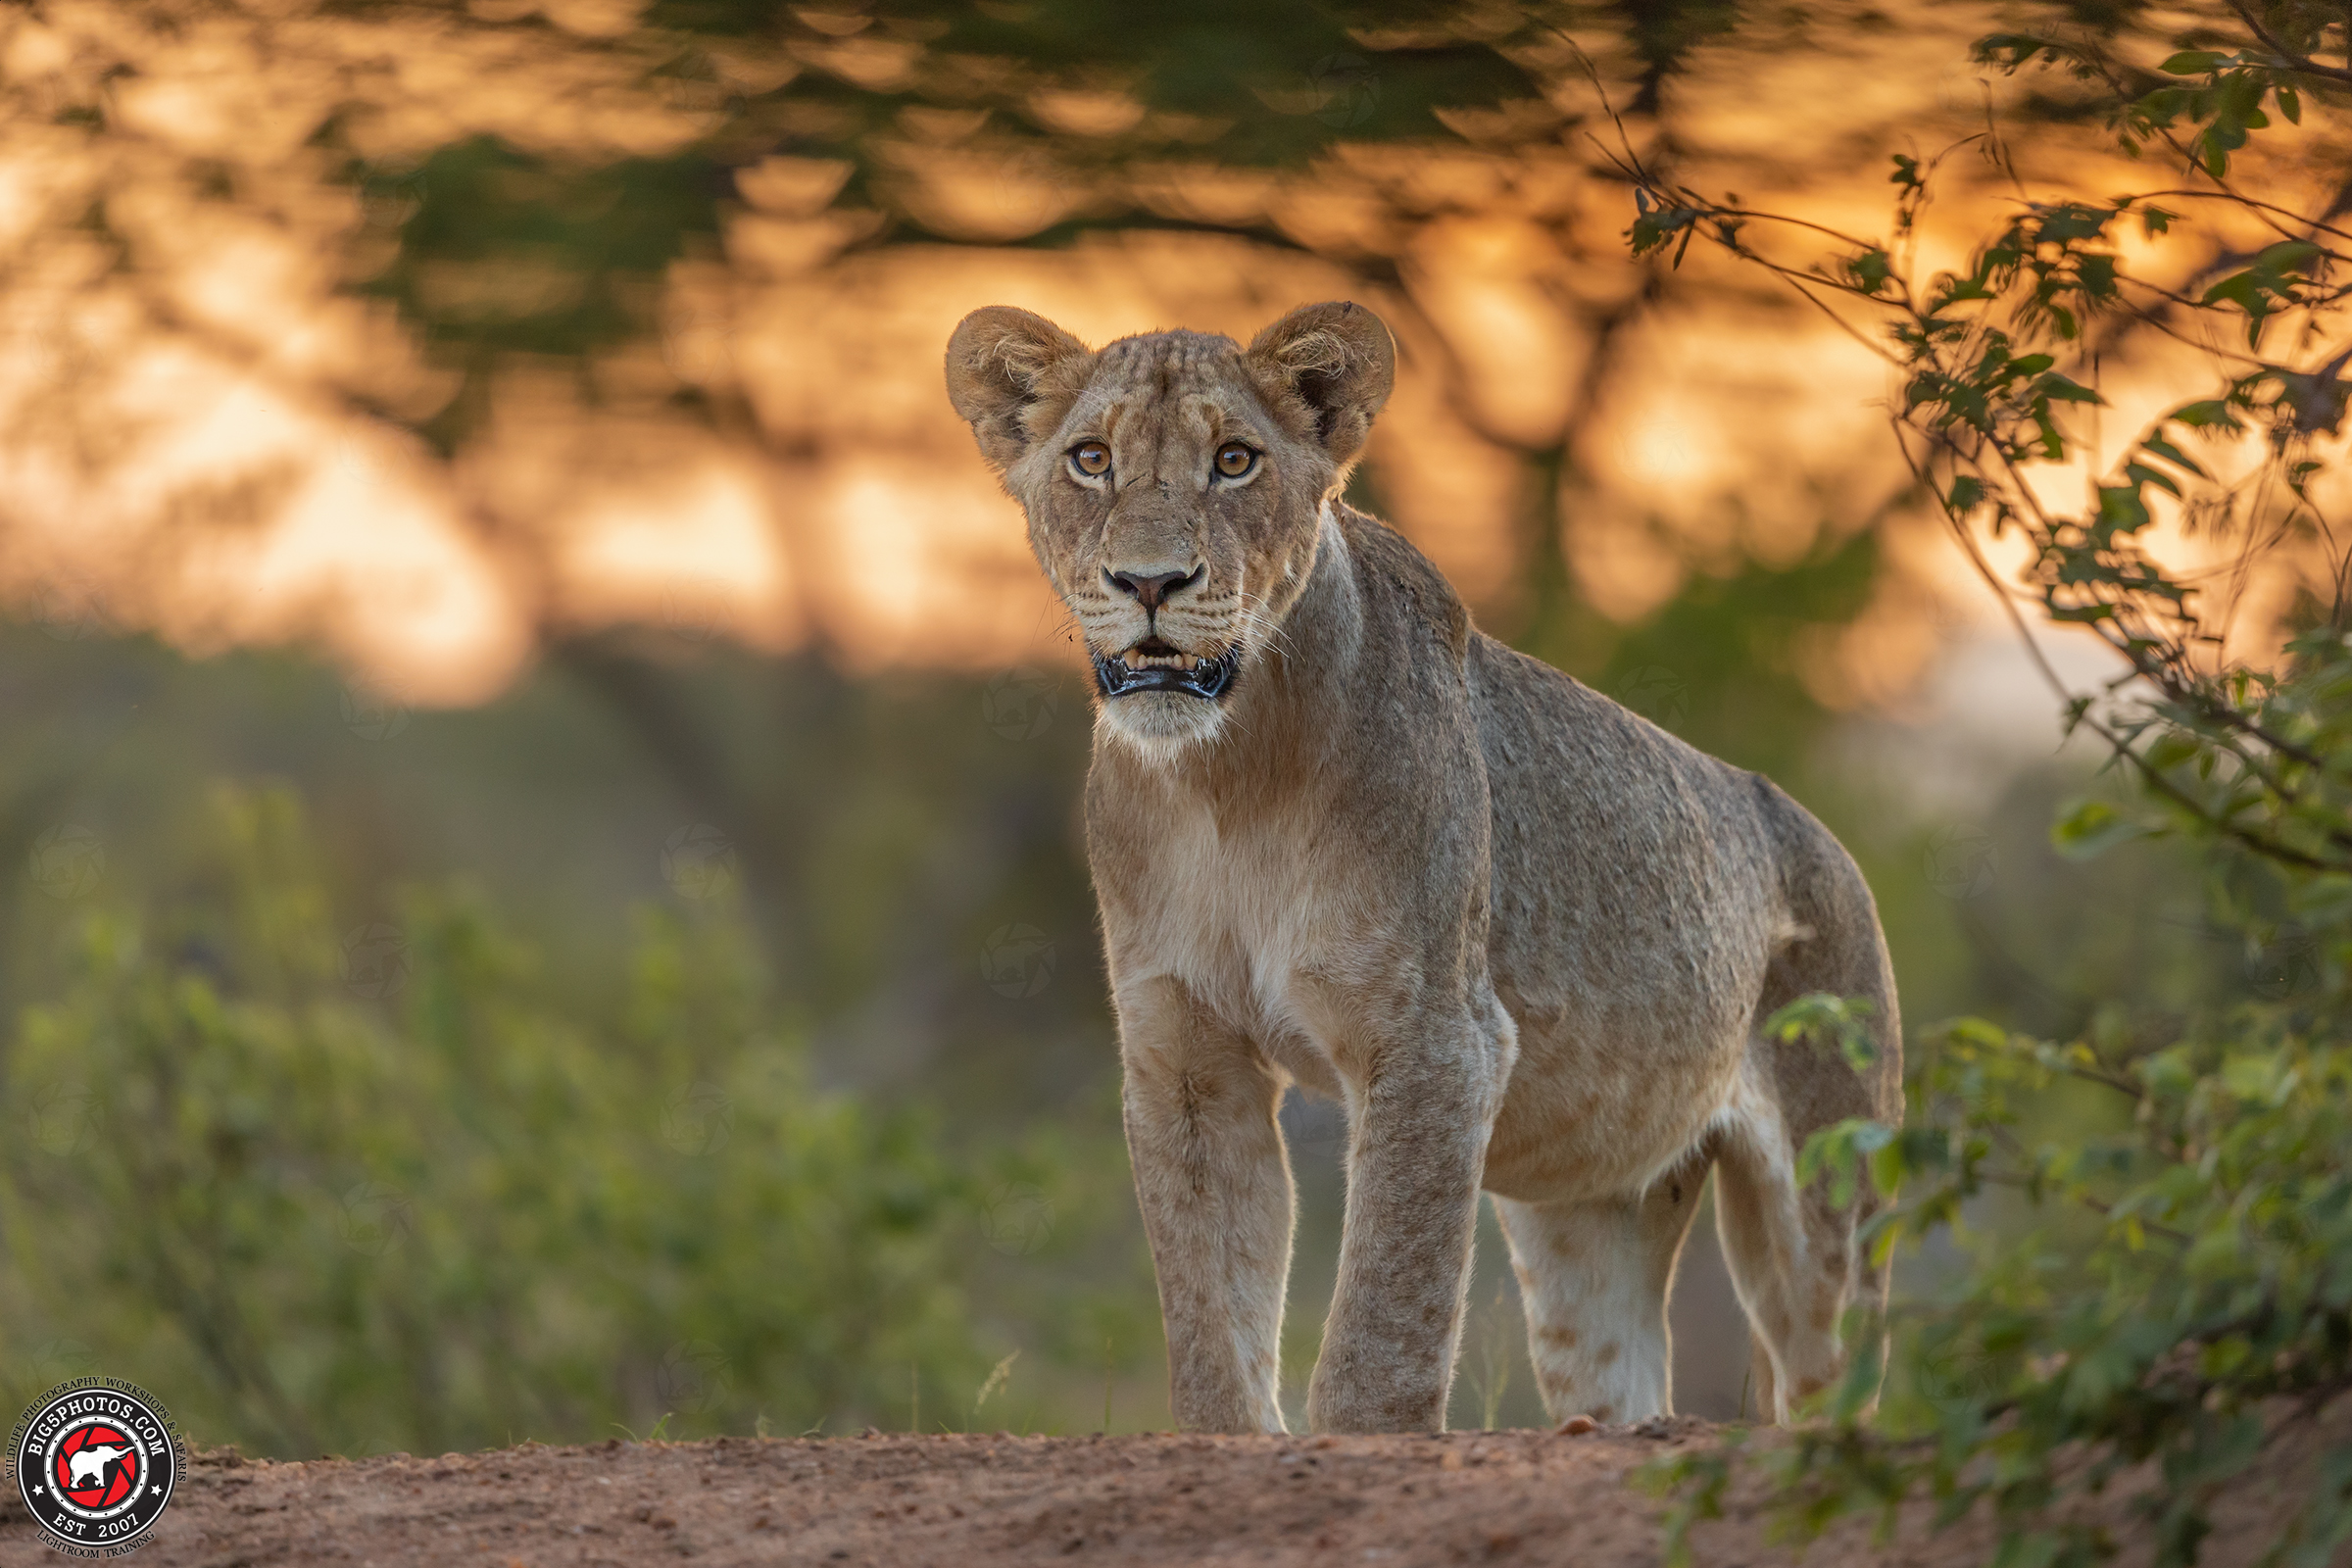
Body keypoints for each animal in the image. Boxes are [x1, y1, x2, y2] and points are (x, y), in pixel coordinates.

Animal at [944, 300, 1902, 1434]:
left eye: (1235, 461)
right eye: (1090, 459)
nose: (1148, 582)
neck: (1226, 780)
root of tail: (1827, 845)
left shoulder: (1437, 1036)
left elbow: (1386, 1305)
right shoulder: (1185, 1053)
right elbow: (1210, 1306)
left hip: (1826, 1190)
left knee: (1835, 1370)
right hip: (1590, 1220)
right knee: (1620, 1369)